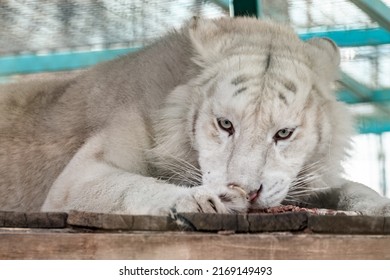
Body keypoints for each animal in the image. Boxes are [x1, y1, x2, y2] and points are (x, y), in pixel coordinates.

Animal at [0, 17, 390, 214]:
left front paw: (379, 206)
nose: (247, 192)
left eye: (283, 133)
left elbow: (351, 188)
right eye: (225, 124)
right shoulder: (77, 178)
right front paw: (202, 199)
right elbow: (132, 186)